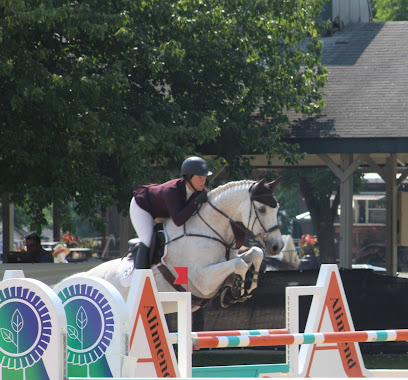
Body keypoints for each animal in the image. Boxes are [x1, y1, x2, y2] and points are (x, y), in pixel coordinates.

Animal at [66, 178, 284, 312]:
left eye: (277, 208)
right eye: (262, 209)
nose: (277, 246)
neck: (210, 231)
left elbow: (255, 253)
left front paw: (243, 289)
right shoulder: (203, 279)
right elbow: (239, 264)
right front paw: (237, 290)